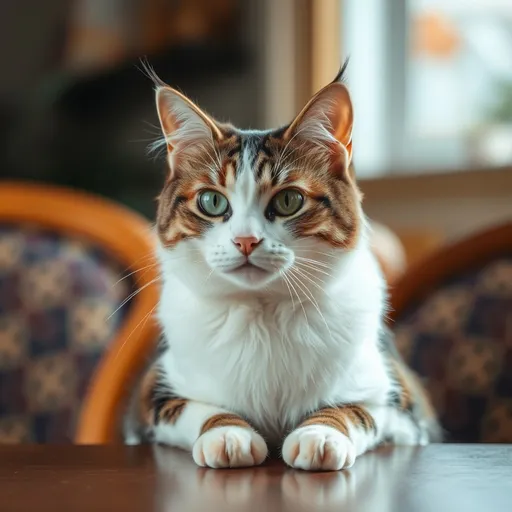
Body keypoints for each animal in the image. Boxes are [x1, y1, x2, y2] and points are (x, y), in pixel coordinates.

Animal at [125, 62, 440, 470]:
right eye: (212, 201)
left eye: (289, 200)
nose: (246, 241)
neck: (263, 310)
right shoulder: (152, 396)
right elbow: (196, 407)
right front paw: (228, 433)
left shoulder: (402, 404)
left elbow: (355, 409)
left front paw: (320, 433)